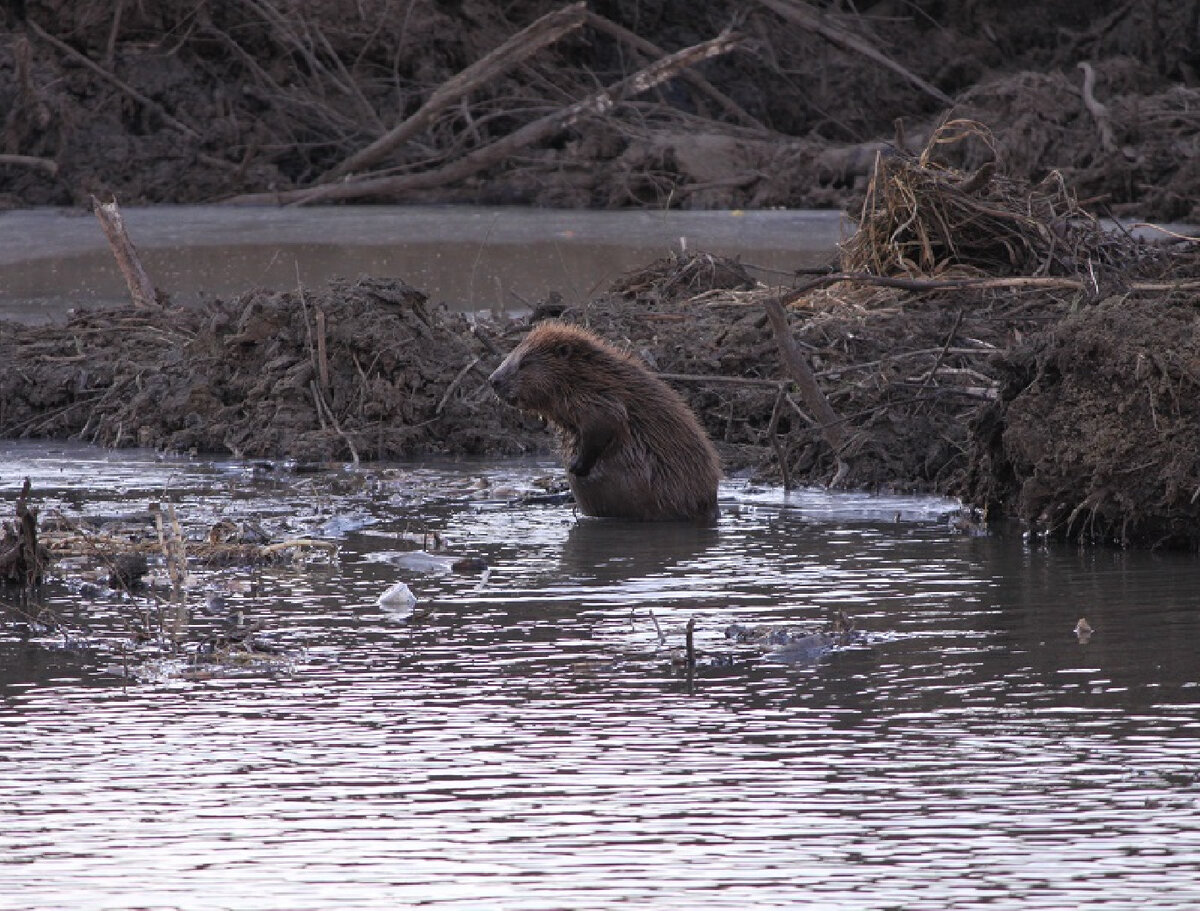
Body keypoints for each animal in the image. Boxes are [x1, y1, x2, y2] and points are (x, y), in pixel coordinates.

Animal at [489, 321, 720, 523]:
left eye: (525, 363)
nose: (493, 380)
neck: (586, 376)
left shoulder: (599, 397)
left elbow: (606, 421)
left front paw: (575, 467)